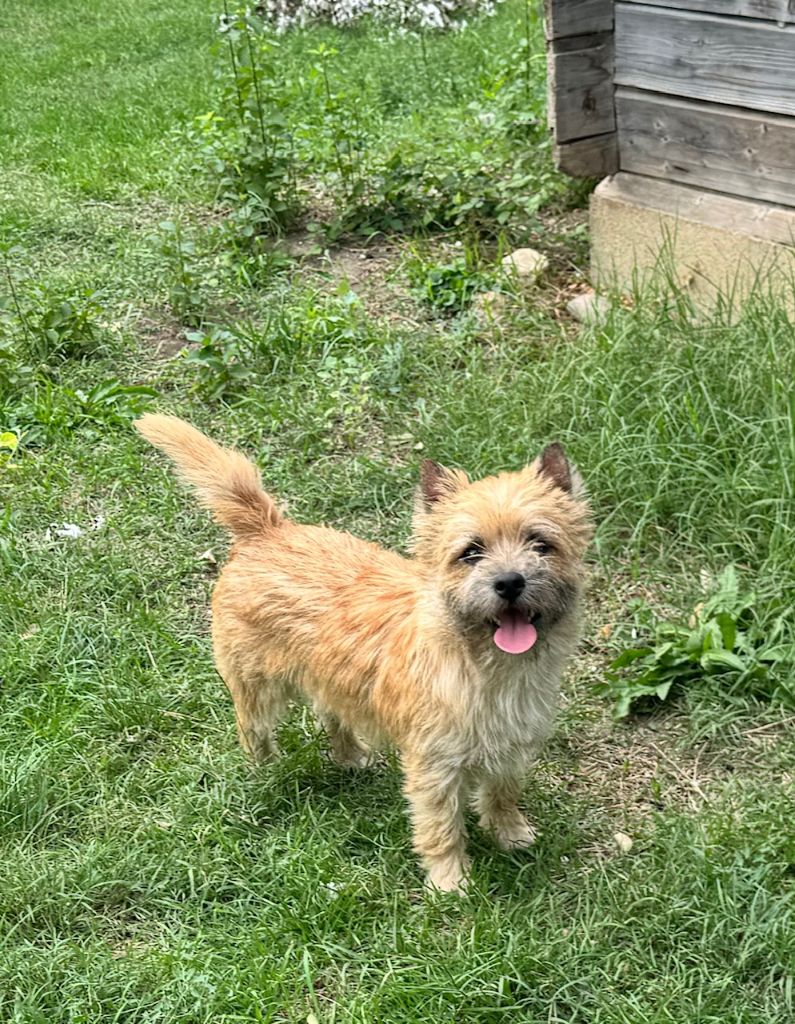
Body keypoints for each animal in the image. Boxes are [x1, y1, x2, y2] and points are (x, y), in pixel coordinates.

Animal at [135, 413, 590, 888]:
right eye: (471, 552)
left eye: (540, 543)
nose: (509, 582)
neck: (486, 665)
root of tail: (267, 530)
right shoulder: (434, 767)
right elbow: (441, 826)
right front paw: (450, 882)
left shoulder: (512, 748)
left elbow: (502, 793)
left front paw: (510, 834)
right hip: (256, 687)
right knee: (253, 730)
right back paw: (266, 770)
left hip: (331, 677)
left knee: (331, 714)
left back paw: (350, 756)